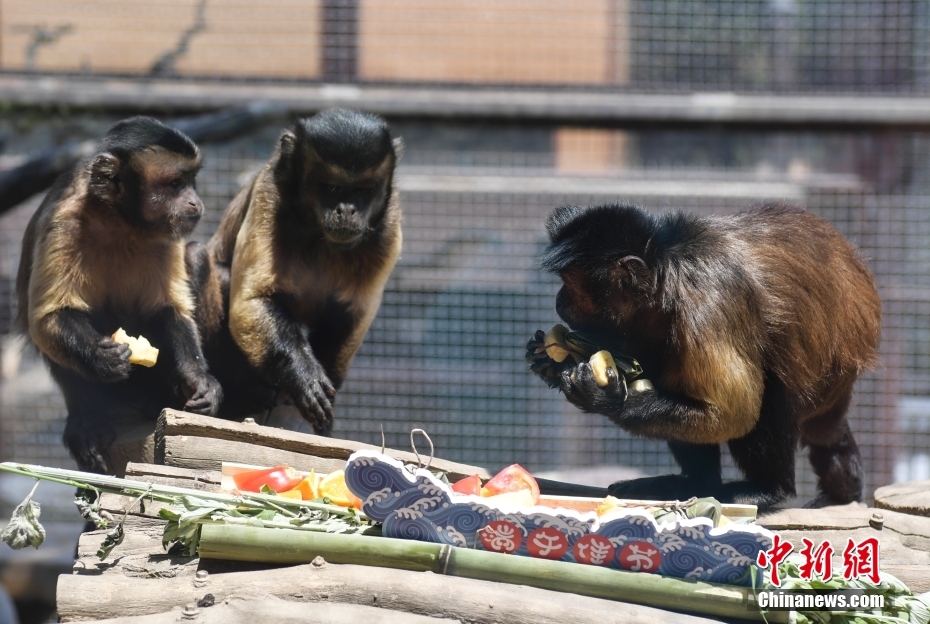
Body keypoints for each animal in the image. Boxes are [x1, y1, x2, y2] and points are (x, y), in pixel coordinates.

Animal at [17, 117, 224, 472]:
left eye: (191, 182)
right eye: (175, 184)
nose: (195, 202)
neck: (121, 221)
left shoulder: (166, 233)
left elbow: (169, 309)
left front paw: (198, 379)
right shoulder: (63, 220)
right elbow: (49, 318)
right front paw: (101, 357)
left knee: (195, 254)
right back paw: (85, 422)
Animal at [188, 107, 402, 434]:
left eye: (363, 191)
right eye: (332, 188)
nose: (347, 210)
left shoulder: (388, 226)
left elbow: (351, 314)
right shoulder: (270, 192)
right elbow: (252, 301)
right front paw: (304, 378)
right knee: (198, 257)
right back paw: (241, 398)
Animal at [524, 202, 880, 510]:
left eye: (570, 285)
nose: (558, 300)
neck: (667, 280)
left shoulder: (708, 305)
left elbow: (732, 414)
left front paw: (607, 398)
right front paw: (551, 362)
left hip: (831, 371)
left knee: (768, 390)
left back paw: (767, 490)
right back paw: (696, 483)